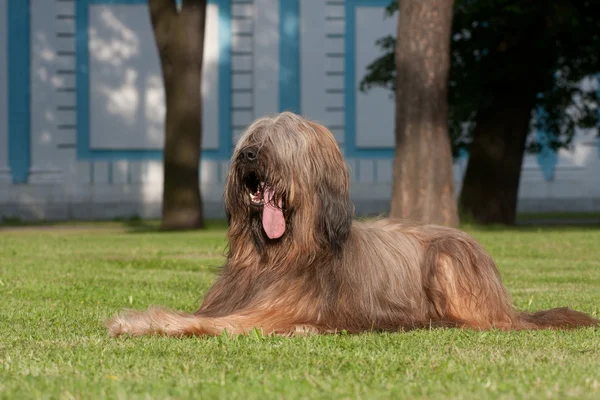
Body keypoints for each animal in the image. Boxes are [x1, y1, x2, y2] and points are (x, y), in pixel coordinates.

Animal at [105, 111, 596, 336]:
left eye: (283, 143)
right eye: (253, 139)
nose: (248, 156)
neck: (277, 255)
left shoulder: (265, 314)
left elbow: (208, 324)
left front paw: (142, 321)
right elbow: (201, 316)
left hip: (447, 259)